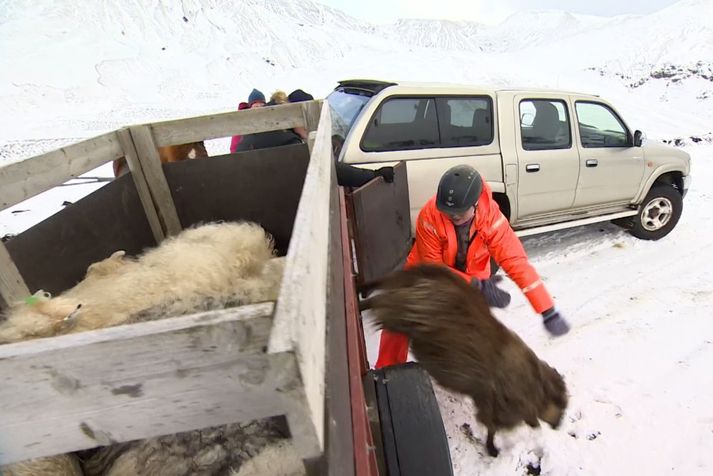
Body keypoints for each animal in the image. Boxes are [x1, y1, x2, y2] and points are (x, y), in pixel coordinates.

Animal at [362, 264, 568, 458]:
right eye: (561, 404)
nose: (558, 426)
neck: (535, 386)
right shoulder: (499, 407)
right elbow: (493, 427)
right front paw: (492, 449)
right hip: (406, 310)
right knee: (381, 301)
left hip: (405, 295)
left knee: (383, 286)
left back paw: (362, 291)